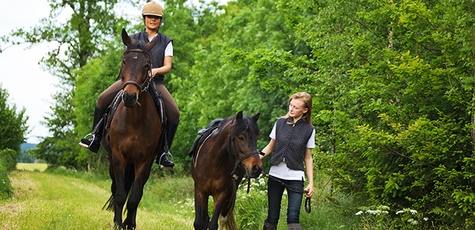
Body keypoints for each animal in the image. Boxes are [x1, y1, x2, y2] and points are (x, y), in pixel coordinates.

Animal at [101, 28, 163, 230]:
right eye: (124, 61)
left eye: (147, 65)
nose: (129, 97)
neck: (134, 120)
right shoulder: (119, 157)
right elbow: (120, 194)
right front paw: (118, 224)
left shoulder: (144, 162)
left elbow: (135, 197)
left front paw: (129, 223)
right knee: (115, 188)